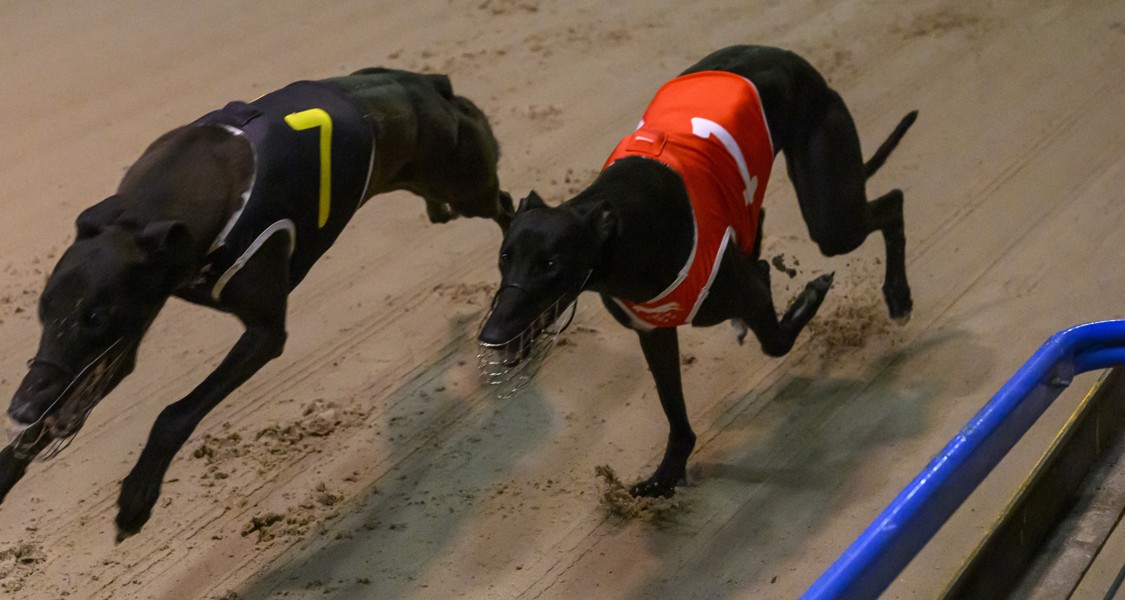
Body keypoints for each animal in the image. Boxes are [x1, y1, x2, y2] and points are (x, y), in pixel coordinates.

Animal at [1, 67, 513, 540]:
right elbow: (74, 394)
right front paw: (13, 461)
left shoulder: (264, 333)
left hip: (467, 184)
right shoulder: (120, 341)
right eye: (42, 311)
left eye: (95, 315)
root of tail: (430, 83)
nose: (20, 408)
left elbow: (173, 415)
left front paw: (136, 499)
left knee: (506, 205)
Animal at [478, 45, 917, 498]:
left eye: (551, 264)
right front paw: (665, 476)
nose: (490, 335)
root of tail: (788, 57)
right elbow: (677, 415)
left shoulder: (751, 295)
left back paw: (898, 295)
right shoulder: (654, 332)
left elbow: (776, 339)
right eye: (504, 257)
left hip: (832, 215)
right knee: (764, 219)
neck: (626, 225)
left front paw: (812, 293)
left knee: (891, 203)